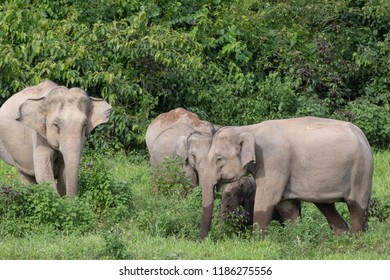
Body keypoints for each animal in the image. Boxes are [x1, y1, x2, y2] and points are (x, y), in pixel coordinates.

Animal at [197, 116, 374, 238]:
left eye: (219, 159)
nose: (203, 241)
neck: (249, 129)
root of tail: (363, 137)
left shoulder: (273, 163)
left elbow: (265, 202)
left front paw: (258, 244)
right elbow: (287, 208)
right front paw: (294, 239)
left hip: (361, 172)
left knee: (356, 207)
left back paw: (356, 242)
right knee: (327, 207)